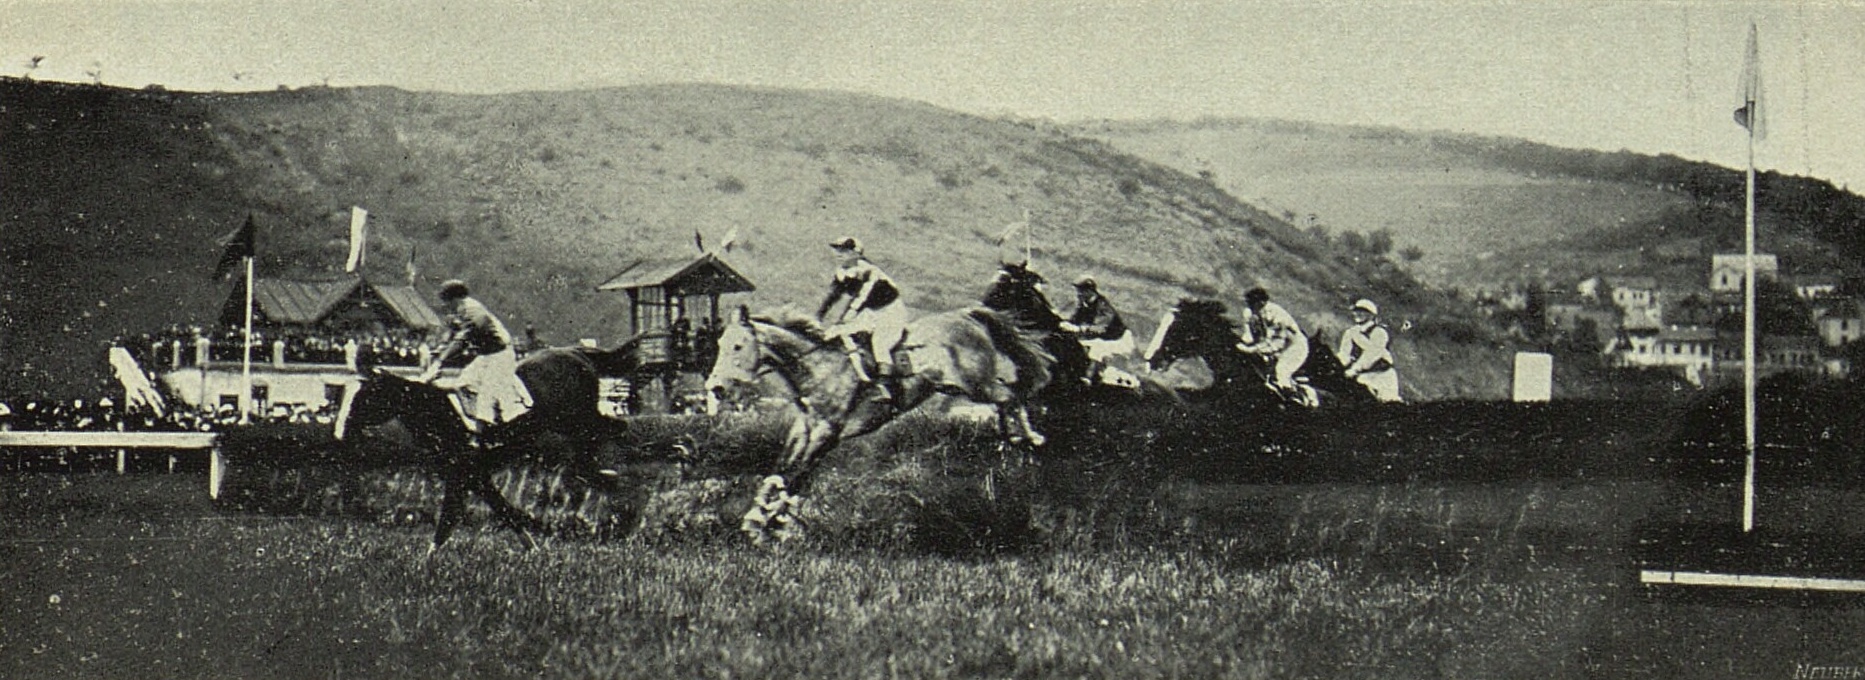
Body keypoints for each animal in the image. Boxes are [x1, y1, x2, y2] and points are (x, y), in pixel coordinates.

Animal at [334, 346, 630, 550]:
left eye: (363, 396)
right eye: (344, 394)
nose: (340, 431)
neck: (441, 413)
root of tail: (576, 353)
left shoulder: (463, 471)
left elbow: (450, 515)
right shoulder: (473, 475)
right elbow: (501, 509)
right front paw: (532, 545)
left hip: (575, 418)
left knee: (613, 429)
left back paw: (609, 476)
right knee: (602, 439)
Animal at [703, 305, 1053, 538]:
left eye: (737, 346)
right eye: (719, 344)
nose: (716, 388)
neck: (818, 369)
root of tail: (967, 315)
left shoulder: (825, 433)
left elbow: (794, 474)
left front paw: (766, 521)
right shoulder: (805, 429)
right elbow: (784, 471)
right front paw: (765, 519)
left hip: (972, 382)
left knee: (1010, 395)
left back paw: (1030, 436)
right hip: (960, 386)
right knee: (1006, 398)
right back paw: (1014, 435)